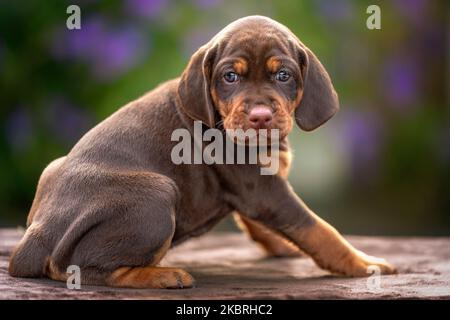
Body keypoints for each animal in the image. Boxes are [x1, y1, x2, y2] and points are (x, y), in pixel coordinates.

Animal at [6, 16, 394, 288]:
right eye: (230, 77)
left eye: (283, 75)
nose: (260, 116)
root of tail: (36, 237)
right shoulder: (264, 191)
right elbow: (319, 229)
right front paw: (362, 263)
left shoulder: (255, 192)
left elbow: (262, 225)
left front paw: (285, 246)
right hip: (158, 193)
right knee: (85, 269)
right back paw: (164, 275)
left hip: (53, 169)